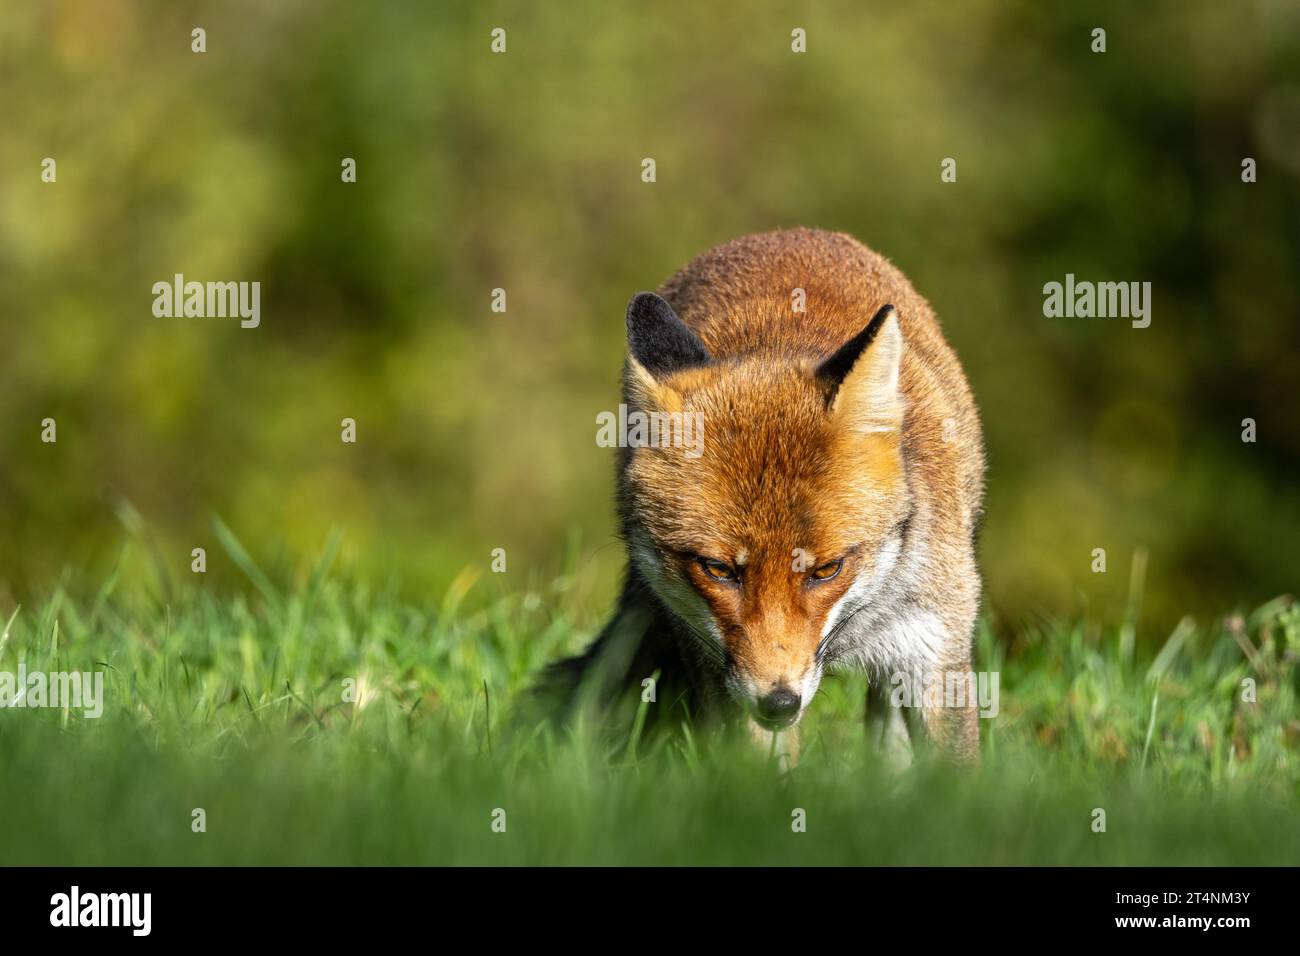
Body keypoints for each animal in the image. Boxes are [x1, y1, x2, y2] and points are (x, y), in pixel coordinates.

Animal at [544, 228, 985, 764]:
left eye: (827, 570)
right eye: (718, 570)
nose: (779, 702)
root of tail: (792, 233)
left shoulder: (932, 649)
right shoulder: (725, 673)